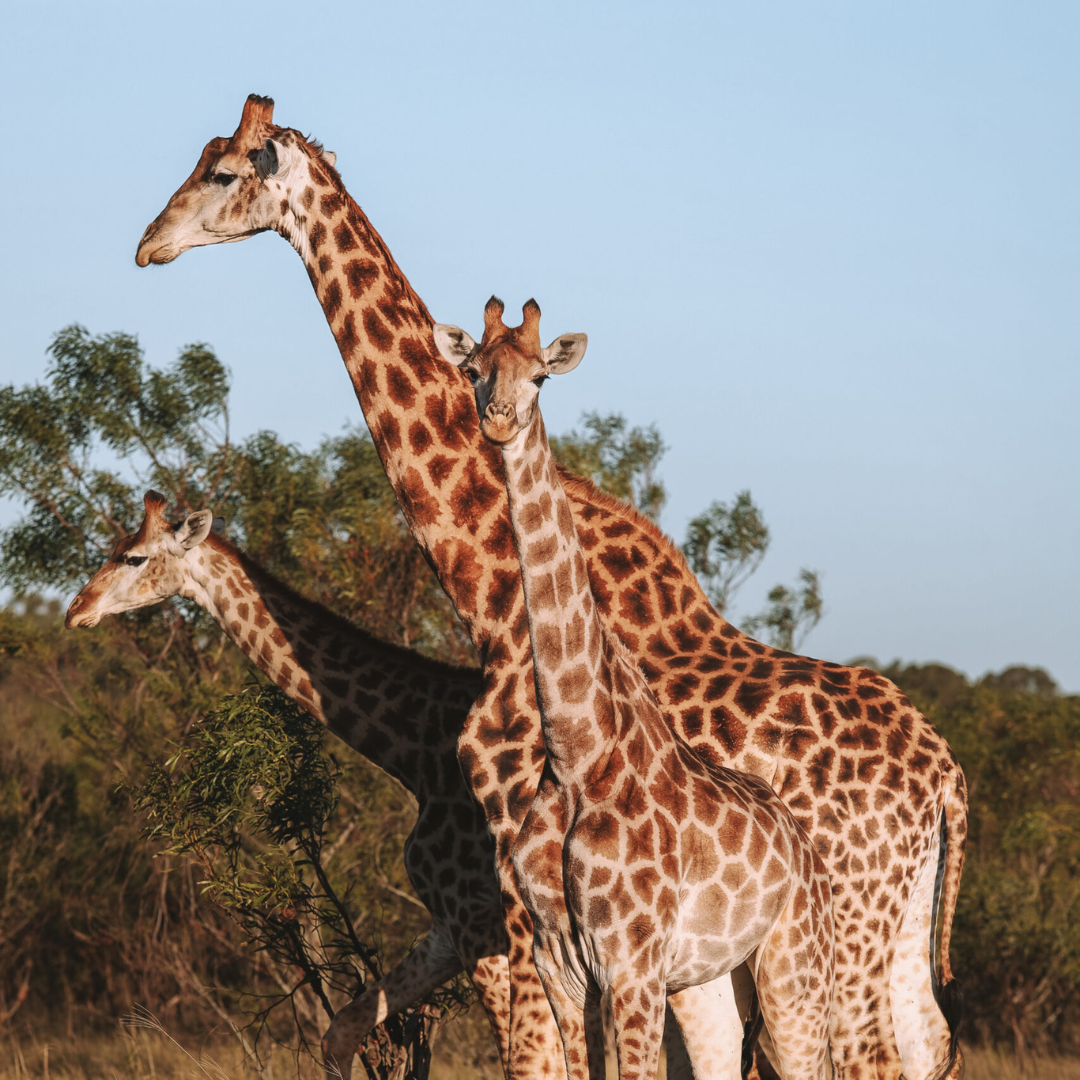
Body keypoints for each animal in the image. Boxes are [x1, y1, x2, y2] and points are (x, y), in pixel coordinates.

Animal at [65, 490, 512, 1076]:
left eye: (133, 556)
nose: (75, 610)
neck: (417, 750)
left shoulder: (479, 915)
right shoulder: (448, 925)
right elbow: (340, 1030)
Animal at [433, 297, 835, 1080]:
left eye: (541, 376)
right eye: (472, 370)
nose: (498, 418)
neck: (576, 751)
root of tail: (799, 840)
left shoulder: (632, 964)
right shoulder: (558, 963)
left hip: (792, 967)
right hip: (713, 982)